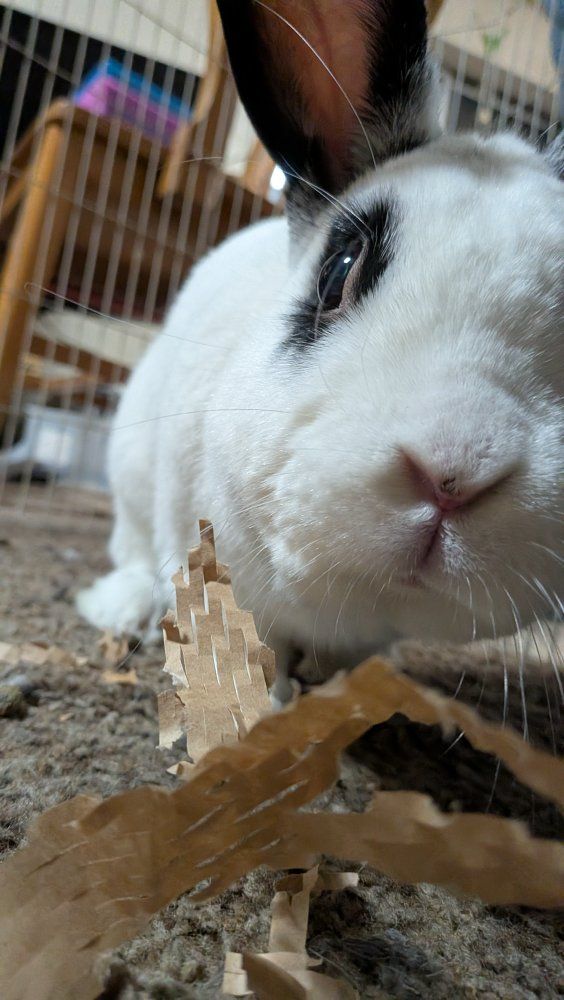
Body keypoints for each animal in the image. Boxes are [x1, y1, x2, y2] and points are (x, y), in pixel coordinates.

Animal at [77, 0, 563, 702]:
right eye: (338, 271)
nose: (452, 477)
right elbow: (257, 649)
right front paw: (268, 705)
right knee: (132, 549)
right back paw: (123, 607)